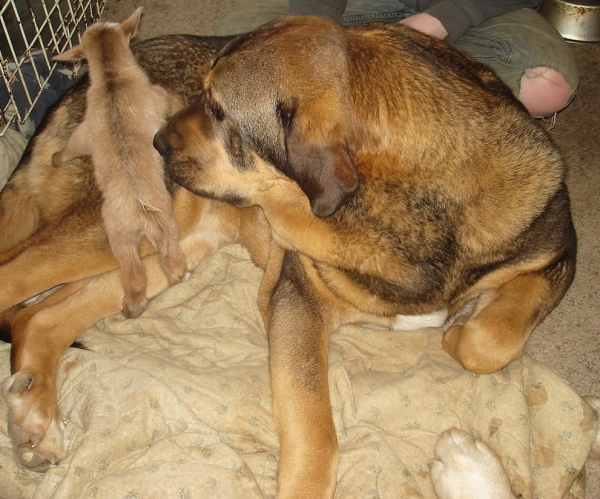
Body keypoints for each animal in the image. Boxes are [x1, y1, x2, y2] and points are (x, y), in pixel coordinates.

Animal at [55, 7, 189, 318]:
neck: (111, 76)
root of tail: (140, 212)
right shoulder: (159, 96)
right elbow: (173, 100)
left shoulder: (85, 130)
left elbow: (72, 145)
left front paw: (55, 158)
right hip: (160, 227)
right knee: (166, 263)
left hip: (121, 238)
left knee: (136, 273)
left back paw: (132, 305)